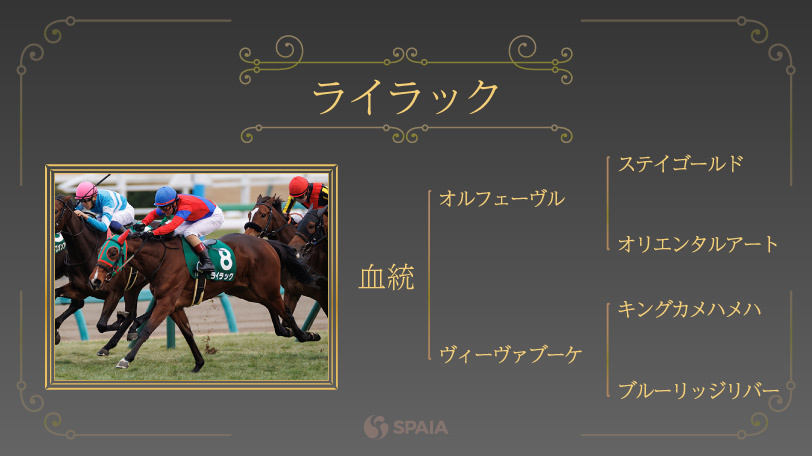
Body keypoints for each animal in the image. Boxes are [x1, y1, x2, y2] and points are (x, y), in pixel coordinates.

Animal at [54, 196, 149, 353]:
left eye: (55, 210)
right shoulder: (81, 288)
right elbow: (58, 294)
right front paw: (55, 332)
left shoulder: (114, 293)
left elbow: (102, 325)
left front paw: (118, 320)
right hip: (134, 287)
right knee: (134, 314)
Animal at [89, 230, 320, 372]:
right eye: (99, 250)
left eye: (113, 251)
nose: (95, 280)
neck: (162, 259)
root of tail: (266, 243)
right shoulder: (174, 305)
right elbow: (188, 334)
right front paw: (199, 363)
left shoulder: (166, 302)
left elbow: (146, 330)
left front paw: (126, 359)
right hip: (247, 290)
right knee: (274, 308)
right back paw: (286, 331)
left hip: (266, 287)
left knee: (285, 311)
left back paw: (306, 335)